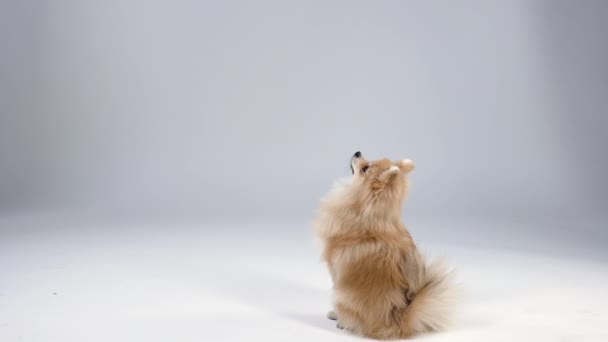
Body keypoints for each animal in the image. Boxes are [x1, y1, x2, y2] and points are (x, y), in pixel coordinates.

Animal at [314, 152, 456, 340]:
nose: (357, 152)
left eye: (365, 168)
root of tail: (399, 322)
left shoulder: (335, 272)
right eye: (367, 160)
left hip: (341, 294)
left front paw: (337, 317)